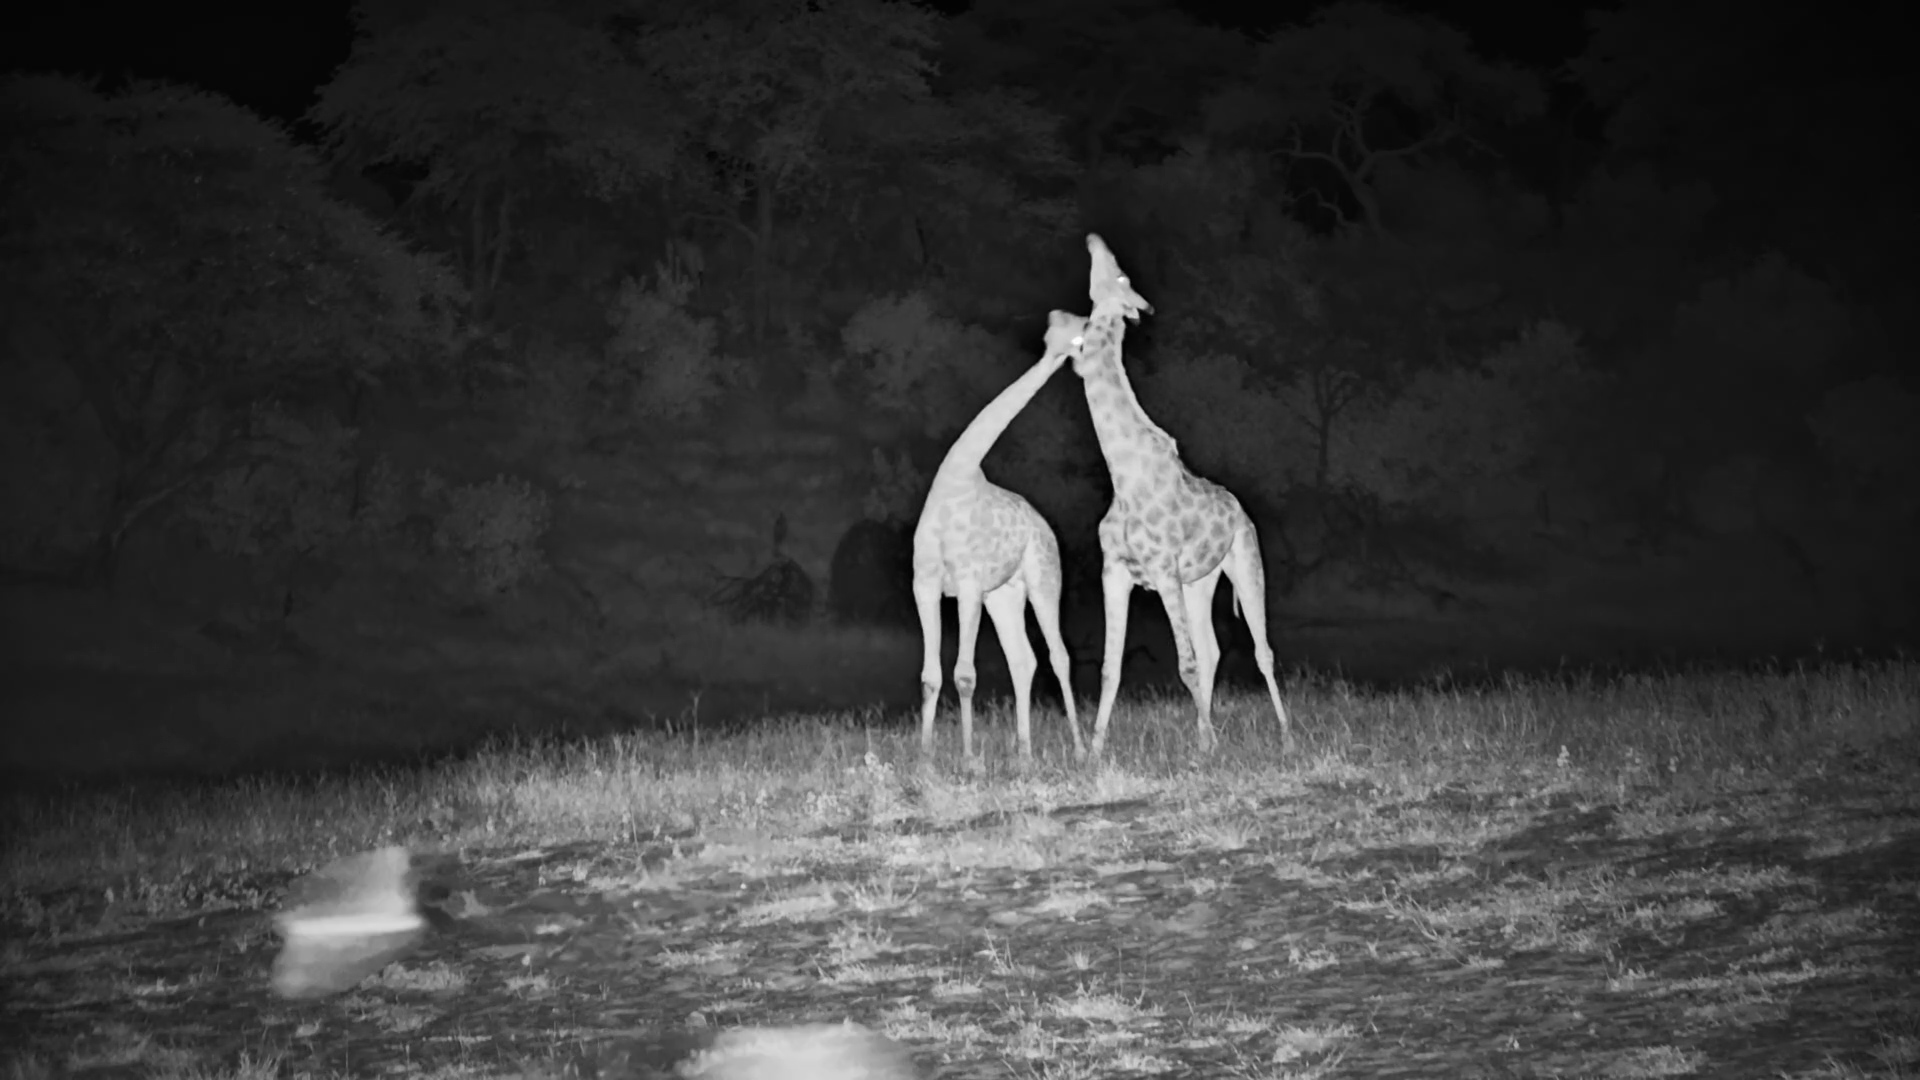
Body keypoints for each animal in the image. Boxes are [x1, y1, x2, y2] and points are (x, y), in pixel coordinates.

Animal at [912, 310, 1088, 768]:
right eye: (1061, 332)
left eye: (1079, 335)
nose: (1069, 351)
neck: (957, 477)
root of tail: (1045, 527)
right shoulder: (926, 583)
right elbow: (930, 676)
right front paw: (925, 757)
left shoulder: (968, 584)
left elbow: (965, 674)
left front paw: (969, 759)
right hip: (1004, 594)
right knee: (1023, 659)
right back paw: (1023, 753)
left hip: (1043, 578)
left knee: (1058, 656)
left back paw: (1081, 750)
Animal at [1072, 233, 1293, 760]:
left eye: (1121, 274)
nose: (1093, 240)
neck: (1124, 476)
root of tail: (1239, 508)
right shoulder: (1116, 571)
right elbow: (1110, 667)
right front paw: (1095, 752)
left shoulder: (1162, 570)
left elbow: (1185, 663)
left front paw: (1209, 745)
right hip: (1200, 580)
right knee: (1213, 648)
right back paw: (1202, 736)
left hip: (1243, 559)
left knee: (1260, 650)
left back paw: (1285, 738)